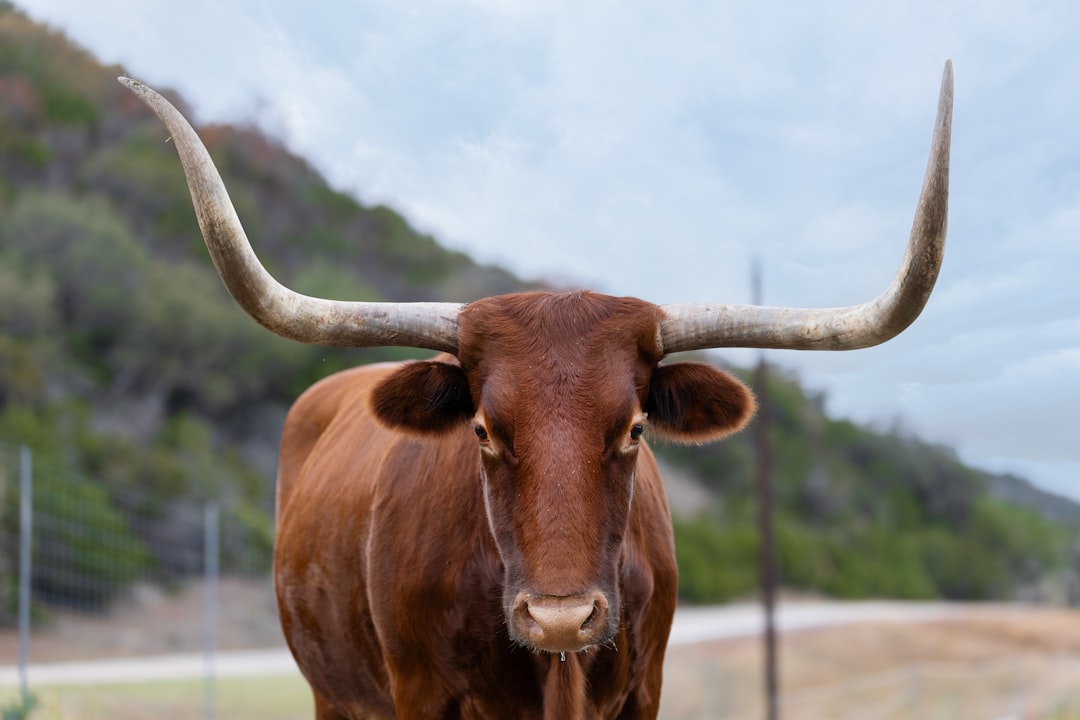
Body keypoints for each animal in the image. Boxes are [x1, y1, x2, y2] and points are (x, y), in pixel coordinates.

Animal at [120, 63, 954, 720]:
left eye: (635, 427)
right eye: (483, 429)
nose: (561, 619)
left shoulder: (645, 690)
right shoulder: (418, 694)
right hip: (333, 693)